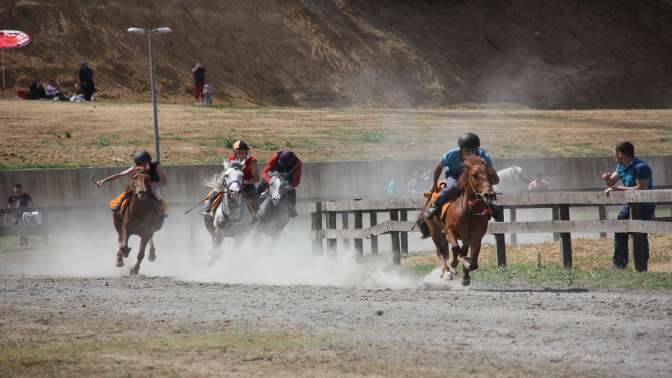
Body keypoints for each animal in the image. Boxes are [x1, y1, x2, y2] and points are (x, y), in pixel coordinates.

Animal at [422, 154, 496, 284]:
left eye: (489, 173)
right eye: (474, 175)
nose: (489, 194)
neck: (468, 212)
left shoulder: (476, 237)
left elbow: (473, 263)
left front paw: (466, 268)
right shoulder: (449, 230)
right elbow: (455, 249)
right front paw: (453, 264)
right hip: (435, 231)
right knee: (442, 253)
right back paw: (447, 271)